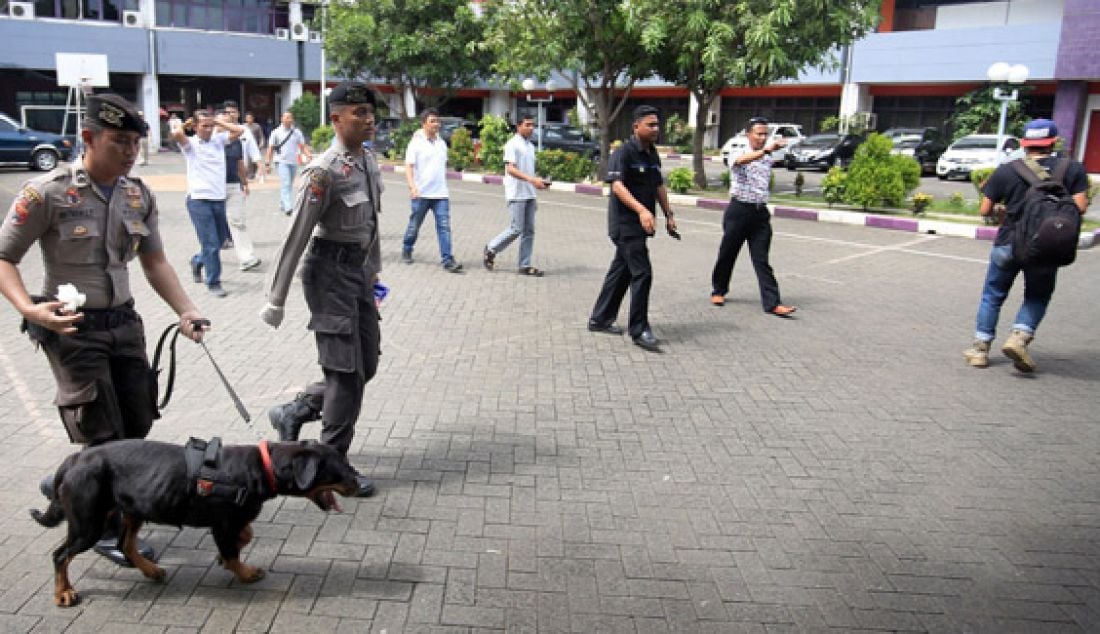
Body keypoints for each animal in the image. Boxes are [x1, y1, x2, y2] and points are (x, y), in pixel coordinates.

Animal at [31, 438, 356, 607]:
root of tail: (73, 461)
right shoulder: (222, 523)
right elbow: (232, 551)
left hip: (135, 507)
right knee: (61, 555)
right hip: (88, 523)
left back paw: (150, 569)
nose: (362, 484)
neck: (262, 467)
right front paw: (245, 572)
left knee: (126, 543)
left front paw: (229, 555)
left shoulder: (230, 520)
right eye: (340, 469)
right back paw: (63, 593)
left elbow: (244, 536)